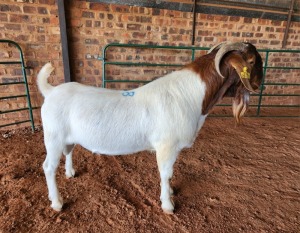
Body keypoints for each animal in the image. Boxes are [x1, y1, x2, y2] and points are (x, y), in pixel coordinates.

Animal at [37, 41, 262, 213]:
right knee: (48, 167)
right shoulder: (166, 146)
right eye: (251, 61)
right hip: (53, 138)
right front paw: (168, 204)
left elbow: (170, 173)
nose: (259, 85)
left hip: (67, 139)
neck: (191, 95)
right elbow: (166, 173)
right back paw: (57, 202)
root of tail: (51, 91)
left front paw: (169, 193)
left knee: (68, 152)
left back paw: (70, 173)